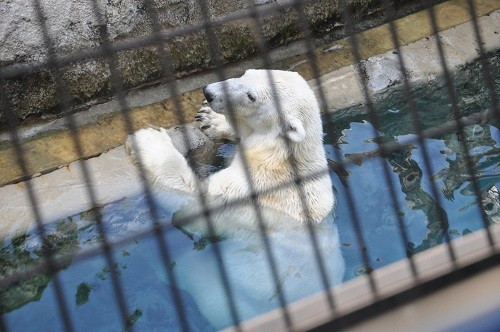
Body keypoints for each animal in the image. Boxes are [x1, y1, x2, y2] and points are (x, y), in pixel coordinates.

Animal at [125, 70, 344, 330]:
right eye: (246, 73)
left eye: (251, 96)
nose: (209, 92)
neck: (286, 158)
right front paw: (210, 119)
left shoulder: (254, 187)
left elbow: (196, 198)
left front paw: (147, 140)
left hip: (226, 298)